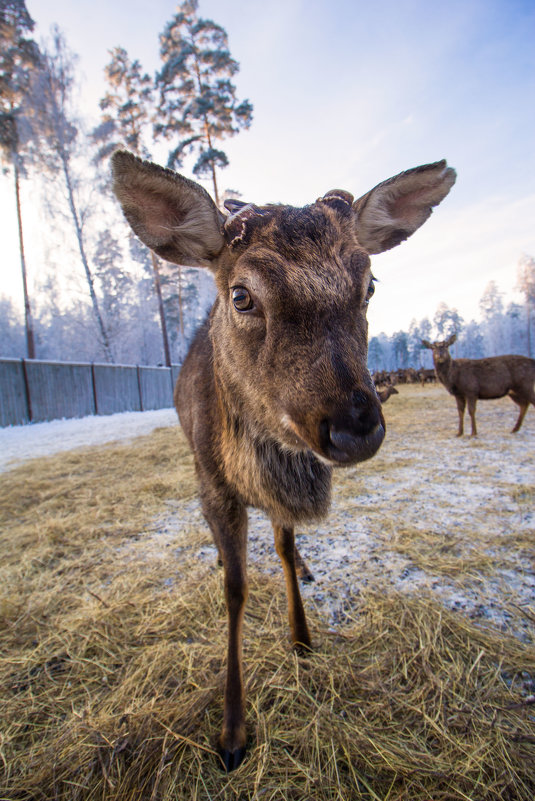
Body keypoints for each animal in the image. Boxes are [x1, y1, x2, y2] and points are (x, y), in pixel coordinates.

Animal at [112, 150, 456, 768]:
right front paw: (231, 733)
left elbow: (284, 546)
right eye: (241, 295)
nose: (354, 424)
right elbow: (237, 589)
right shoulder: (213, 482)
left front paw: (302, 638)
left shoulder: (281, 493)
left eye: (370, 284)